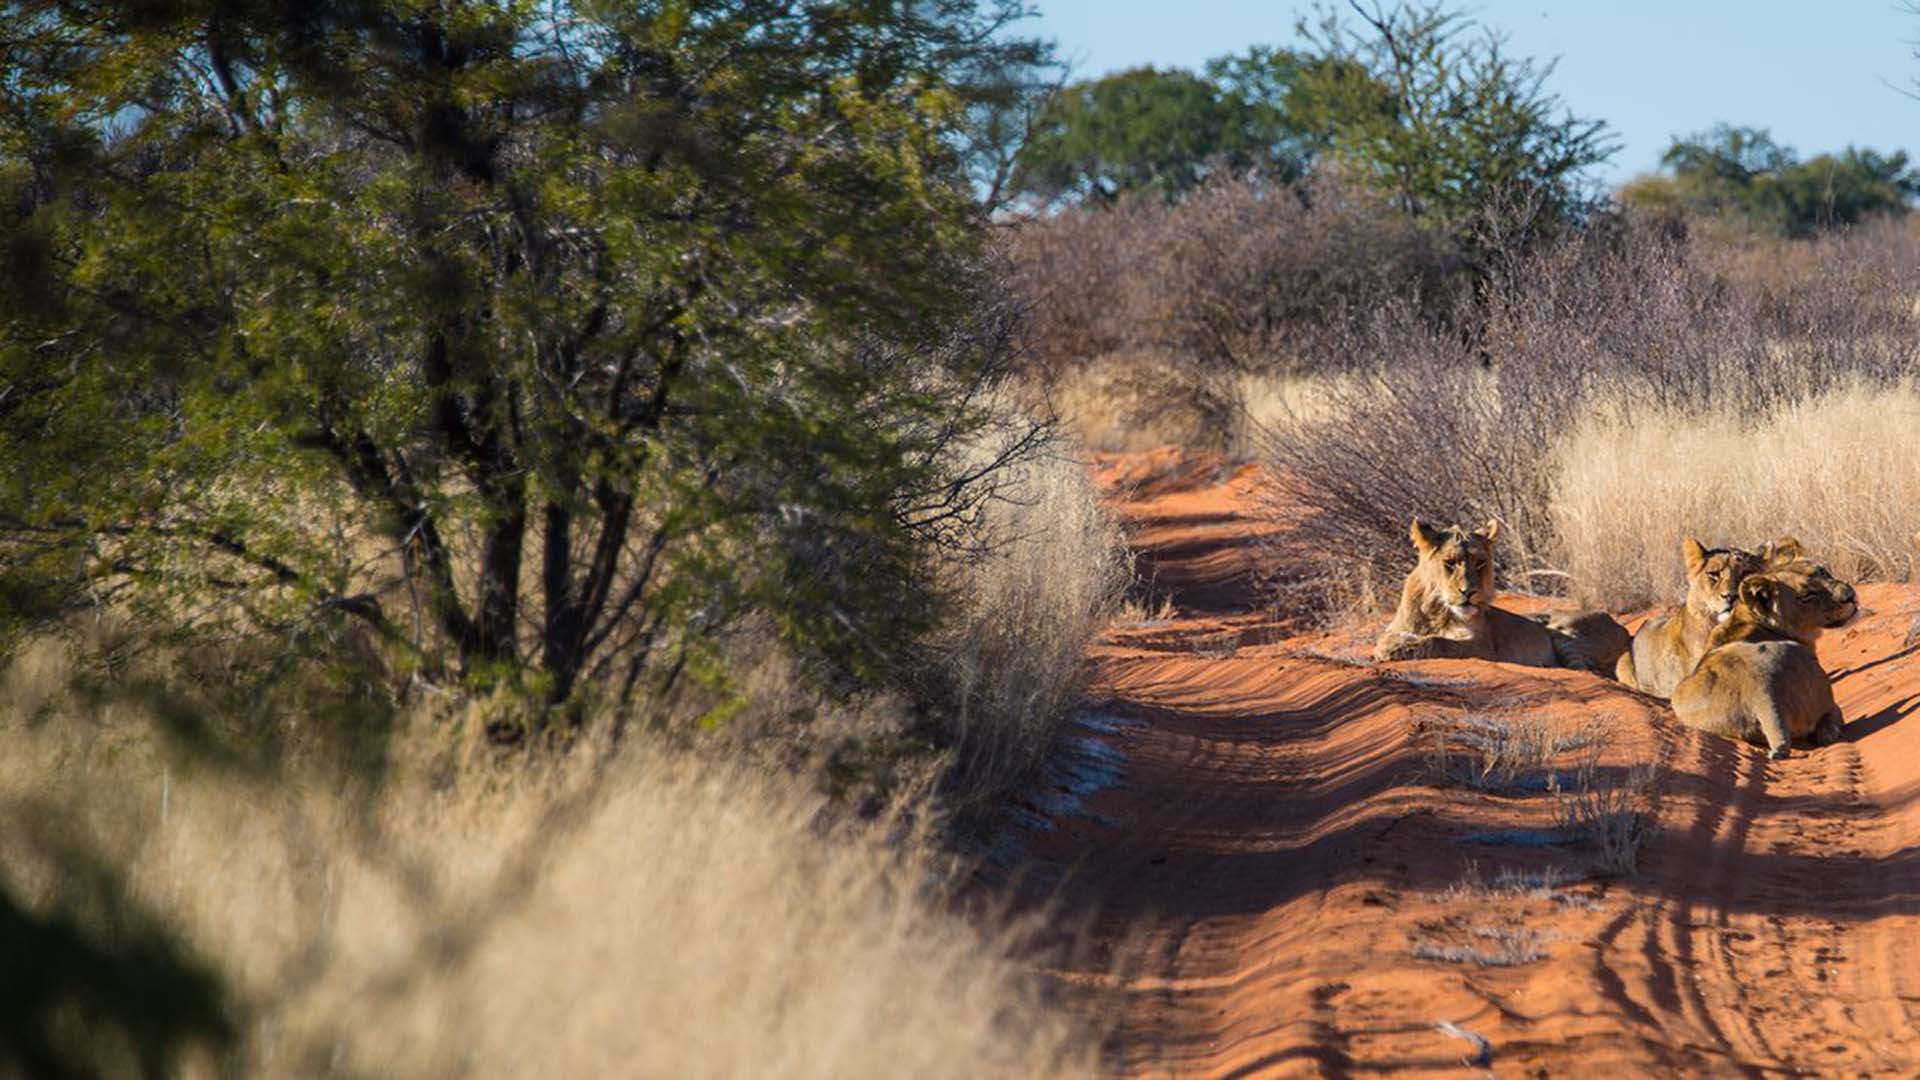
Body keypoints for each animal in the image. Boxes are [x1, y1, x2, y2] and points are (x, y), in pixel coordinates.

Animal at [1373, 518, 1628, 673]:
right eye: (1450, 563)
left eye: (1480, 563)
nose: (1469, 592)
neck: (1438, 611)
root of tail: (1621, 626)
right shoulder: (1397, 628)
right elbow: (1385, 638)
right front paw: (1391, 647)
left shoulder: (1482, 645)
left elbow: (1438, 642)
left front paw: (1397, 651)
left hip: (1564, 632)